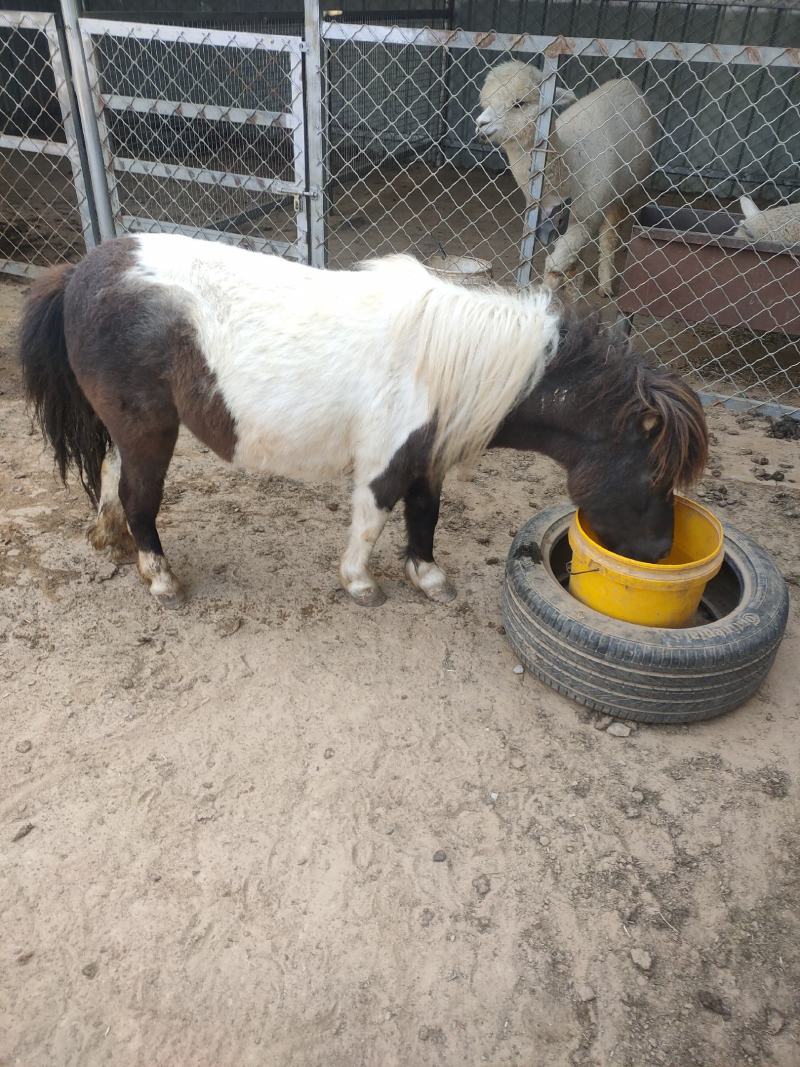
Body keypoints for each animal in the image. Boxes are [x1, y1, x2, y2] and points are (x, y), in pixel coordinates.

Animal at [19, 235, 708, 608]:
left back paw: (110, 539)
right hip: (150, 430)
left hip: (129, 427)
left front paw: (428, 576)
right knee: (142, 496)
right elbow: (373, 521)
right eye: (653, 479)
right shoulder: (386, 460)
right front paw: (360, 583)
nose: (659, 554)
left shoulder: (427, 457)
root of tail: (80, 272)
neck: (442, 360)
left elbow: (425, 516)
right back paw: (159, 578)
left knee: (113, 476)